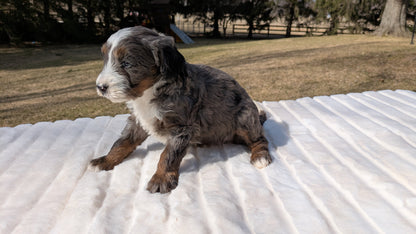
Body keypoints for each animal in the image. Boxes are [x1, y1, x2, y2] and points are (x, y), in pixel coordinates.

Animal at [90, 26, 272, 193]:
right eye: (105, 59)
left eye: (126, 63)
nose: (100, 87)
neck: (149, 92)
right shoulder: (139, 120)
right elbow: (122, 142)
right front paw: (105, 160)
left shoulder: (181, 127)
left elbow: (168, 155)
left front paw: (161, 178)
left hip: (245, 117)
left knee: (260, 139)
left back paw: (260, 157)